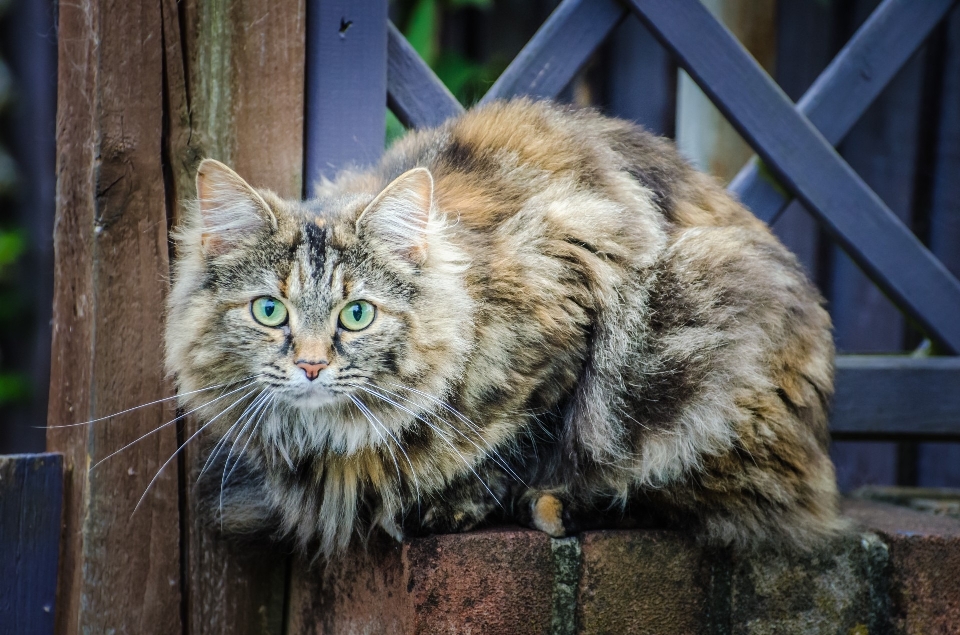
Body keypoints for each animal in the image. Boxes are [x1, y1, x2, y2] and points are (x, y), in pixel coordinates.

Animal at [165, 98, 840, 556]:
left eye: (356, 315)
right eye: (269, 311)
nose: (310, 364)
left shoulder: (575, 289)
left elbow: (522, 439)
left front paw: (455, 503)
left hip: (707, 317)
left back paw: (558, 506)